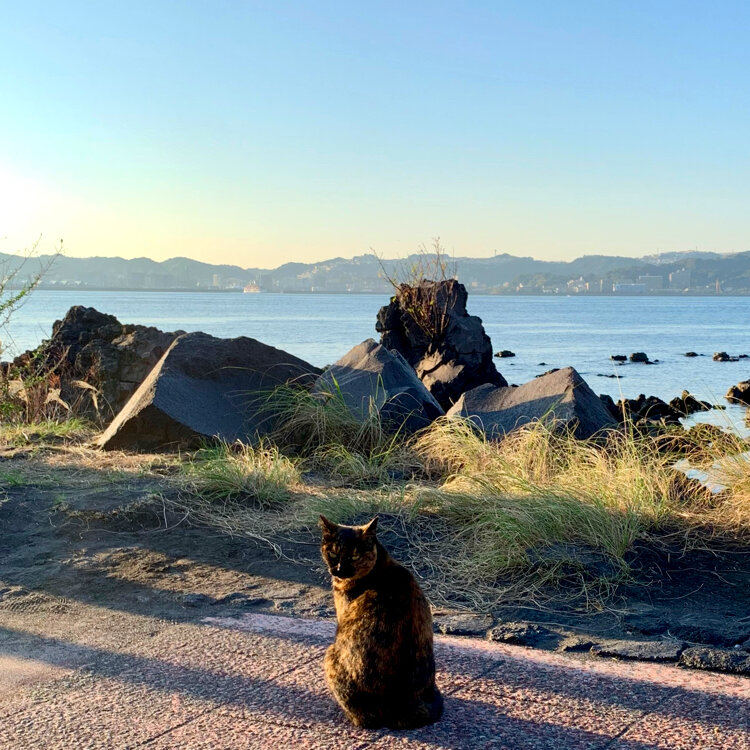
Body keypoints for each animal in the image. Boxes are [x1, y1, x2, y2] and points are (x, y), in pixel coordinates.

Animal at [320, 516, 444, 732]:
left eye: (354, 556)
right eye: (333, 553)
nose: (340, 570)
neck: (380, 567)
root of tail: (400, 703)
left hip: (330, 654)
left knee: (364, 720)